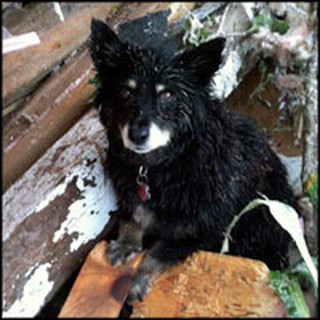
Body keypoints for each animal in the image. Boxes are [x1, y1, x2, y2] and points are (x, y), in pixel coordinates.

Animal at [89, 18, 298, 302]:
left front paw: (137, 280)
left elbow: (158, 251)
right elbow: (133, 217)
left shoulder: (210, 232)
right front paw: (125, 244)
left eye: (167, 95)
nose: (137, 135)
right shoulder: (133, 196)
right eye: (125, 92)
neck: (164, 166)